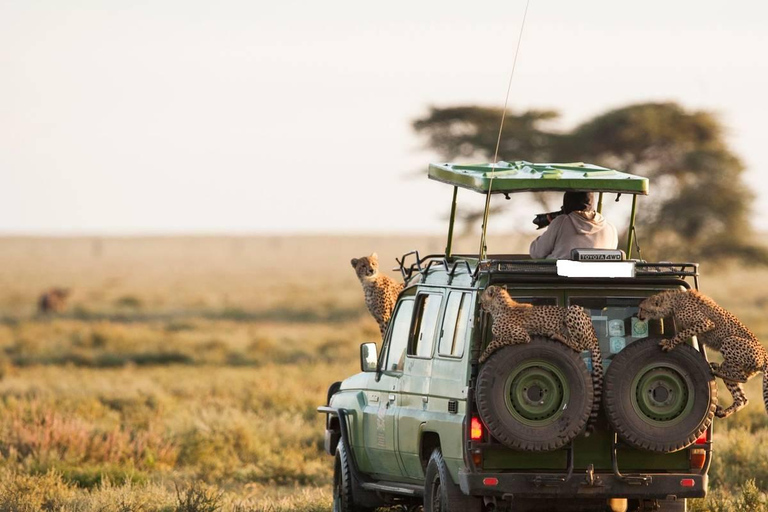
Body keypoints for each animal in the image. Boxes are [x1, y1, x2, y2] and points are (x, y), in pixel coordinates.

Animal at [476, 286, 604, 434]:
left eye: (482, 298)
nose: (480, 304)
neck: (500, 306)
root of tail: (593, 330)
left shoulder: (523, 336)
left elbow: (495, 342)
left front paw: (483, 356)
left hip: (574, 310)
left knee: (579, 345)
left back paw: (557, 335)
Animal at [636, 290, 768, 418]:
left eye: (642, 308)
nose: (638, 316)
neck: (673, 303)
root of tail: (764, 354)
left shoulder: (706, 323)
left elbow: (684, 333)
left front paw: (669, 343)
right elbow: (682, 334)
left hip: (729, 341)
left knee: (742, 377)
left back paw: (716, 370)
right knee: (742, 398)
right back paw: (723, 410)